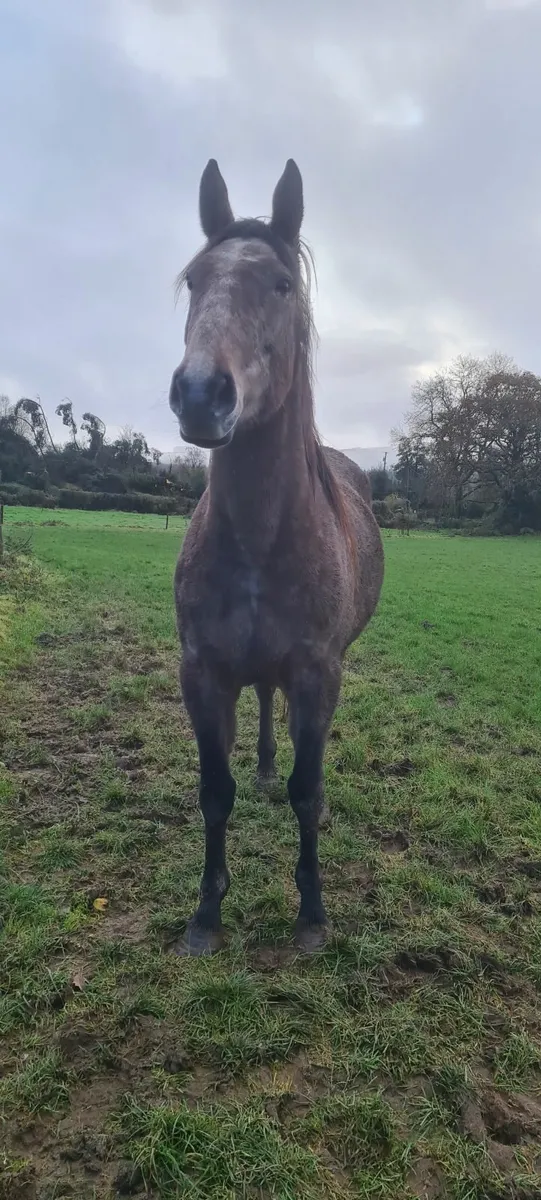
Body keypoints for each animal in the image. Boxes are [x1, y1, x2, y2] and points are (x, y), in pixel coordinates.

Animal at [169, 159, 384, 955]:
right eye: (195, 280)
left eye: (283, 285)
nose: (202, 393)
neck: (260, 540)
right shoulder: (202, 673)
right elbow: (214, 792)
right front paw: (206, 914)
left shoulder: (319, 676)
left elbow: (306, 789)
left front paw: (312, 915)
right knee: (263, 703)